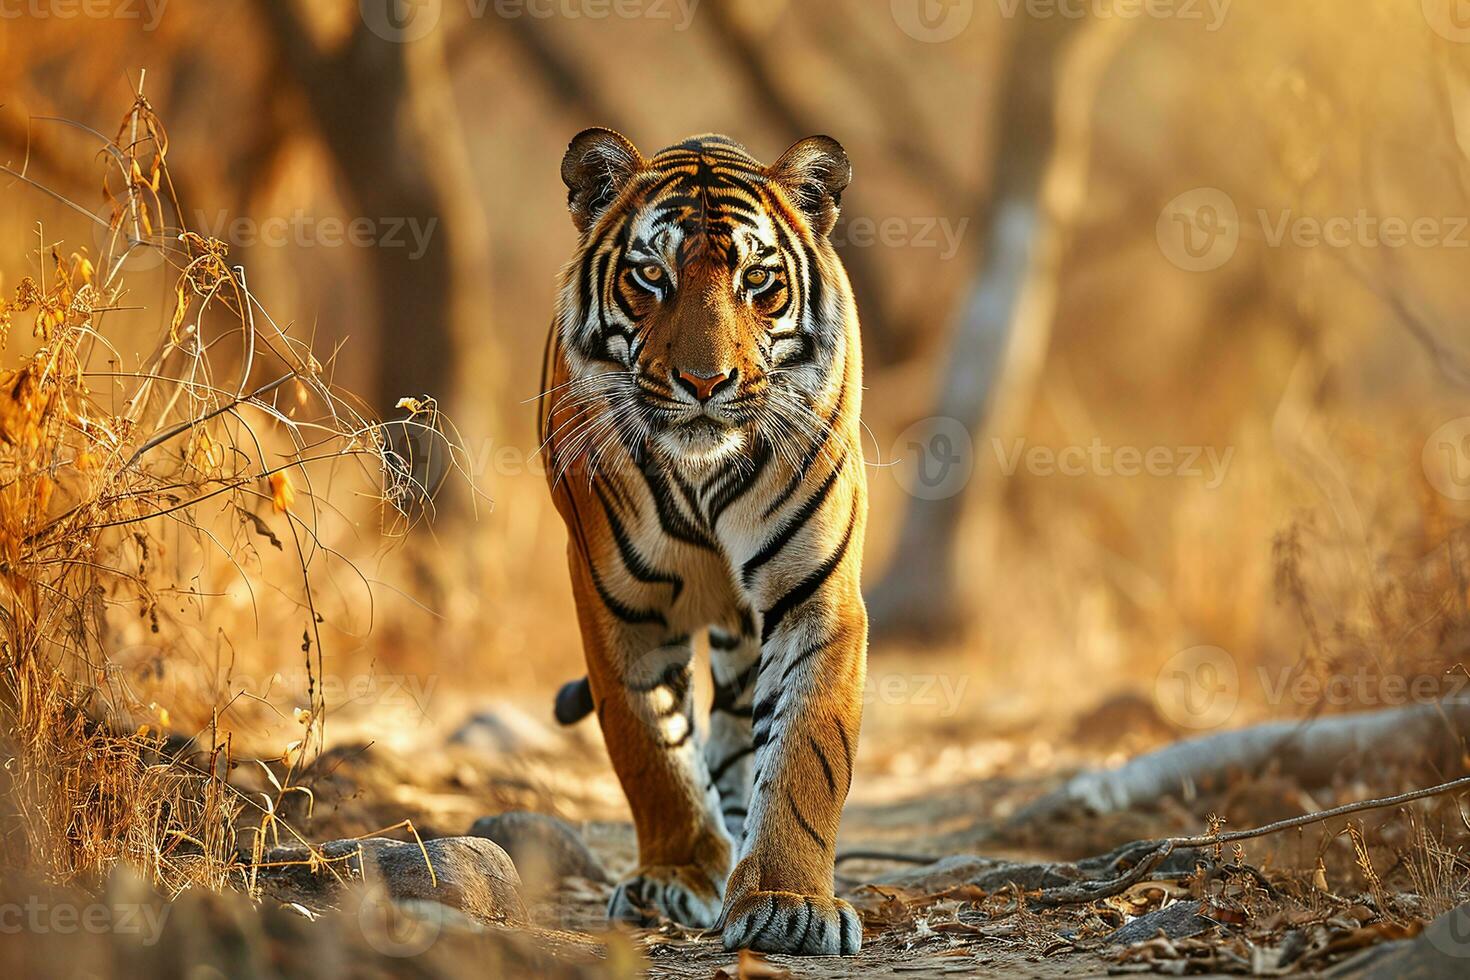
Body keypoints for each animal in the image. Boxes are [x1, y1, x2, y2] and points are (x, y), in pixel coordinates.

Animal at [538, 130, 858, 957]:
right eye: (651, 275)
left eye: (758, 280)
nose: (705, 383)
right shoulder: (615, 601)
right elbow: (650, 750)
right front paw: (679, 876)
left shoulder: (816, 598)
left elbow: (805, 750)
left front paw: (786, 902)